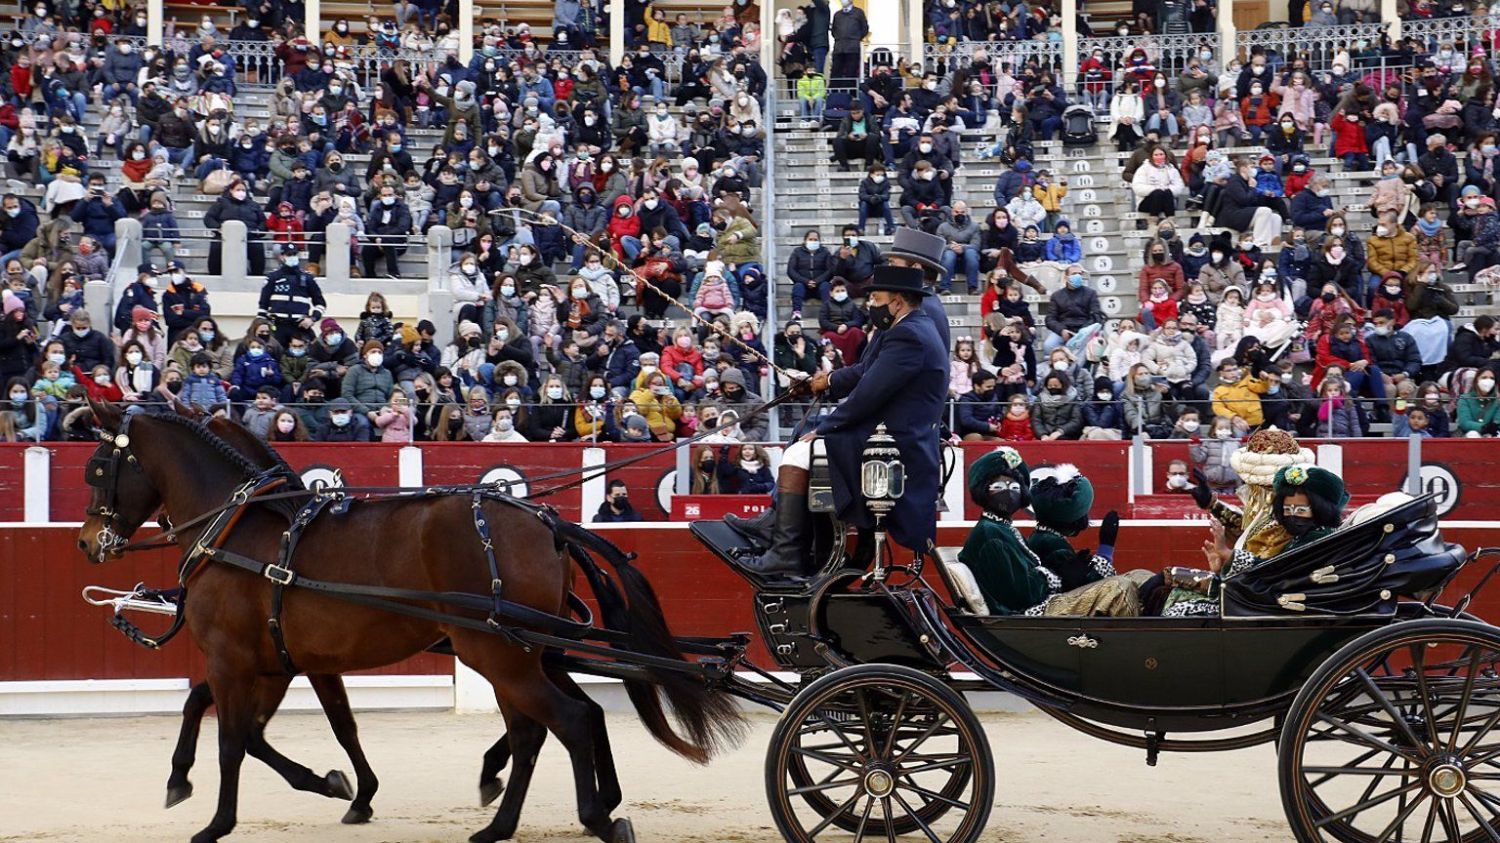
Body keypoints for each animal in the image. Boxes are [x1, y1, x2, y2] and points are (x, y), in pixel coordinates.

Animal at [76, 402, 744, 840]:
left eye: (98, 469)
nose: (87, 542)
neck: (243, 528)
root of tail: (546, 521)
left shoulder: (233, 658)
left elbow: (233, 738)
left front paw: (216, 821)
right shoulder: (278, 662)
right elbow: (268, 724)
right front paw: (337, 787)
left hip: (498, 655)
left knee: (567, 721)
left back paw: (593, 818)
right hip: (521, 652)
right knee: (547, 726)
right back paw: (506, 821)